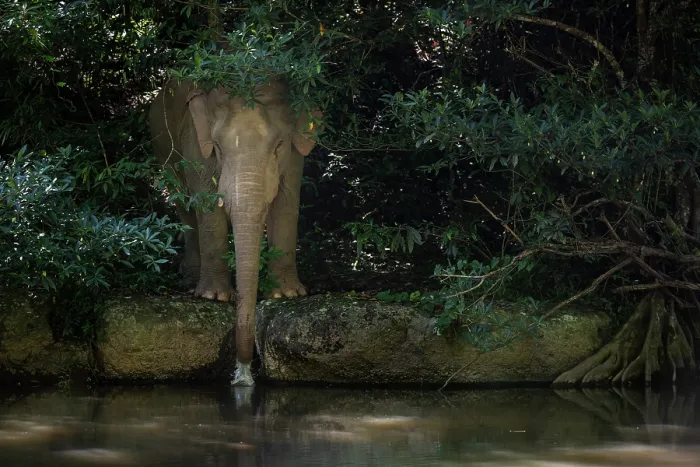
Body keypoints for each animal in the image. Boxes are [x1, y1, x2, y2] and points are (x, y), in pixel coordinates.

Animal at [149, 78, 322, 386]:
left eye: (279, 145)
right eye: (217, 147)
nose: (244, 375)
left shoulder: (293, 154)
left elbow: (287, 201)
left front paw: (286, 295)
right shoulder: (196, 143)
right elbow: (206, 201)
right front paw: (214, 298)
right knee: (183, 203)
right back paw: (190, 279)